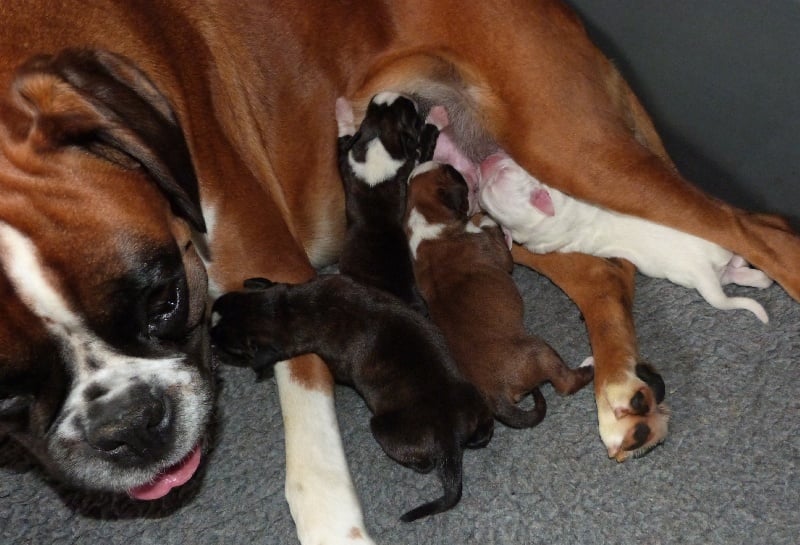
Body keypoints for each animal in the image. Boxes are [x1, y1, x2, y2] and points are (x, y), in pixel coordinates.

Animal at [209, 276, 494, 524]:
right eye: (229, 299)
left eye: (231, 348)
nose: (209, 339)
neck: (289, 309)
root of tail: (449, 435)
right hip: (476, 402)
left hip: (383, 427)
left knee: (422, 462)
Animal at [334, 91, 440, 310]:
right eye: (412, 116)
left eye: (372, 107)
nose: (408, 95)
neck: (379, 140)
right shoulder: (414, 166)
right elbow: (425, 148)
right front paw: (437, 117)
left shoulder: (346, 157)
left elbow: (344, 136)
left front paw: (341, 107)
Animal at [406, 164, 592, 428]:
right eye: (453, 174)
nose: (456, 167)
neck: (425, 219)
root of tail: (495, 395)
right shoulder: (501, 255)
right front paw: (485, 215)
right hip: (540, 351)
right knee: (565, 383)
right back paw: (588, 367)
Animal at [478, 152, 772, 324]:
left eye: (502, 172)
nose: (482, 161)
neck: (551, 219)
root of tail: (704, 272)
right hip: (698, 271)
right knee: (736, 271)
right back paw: (755, 275)